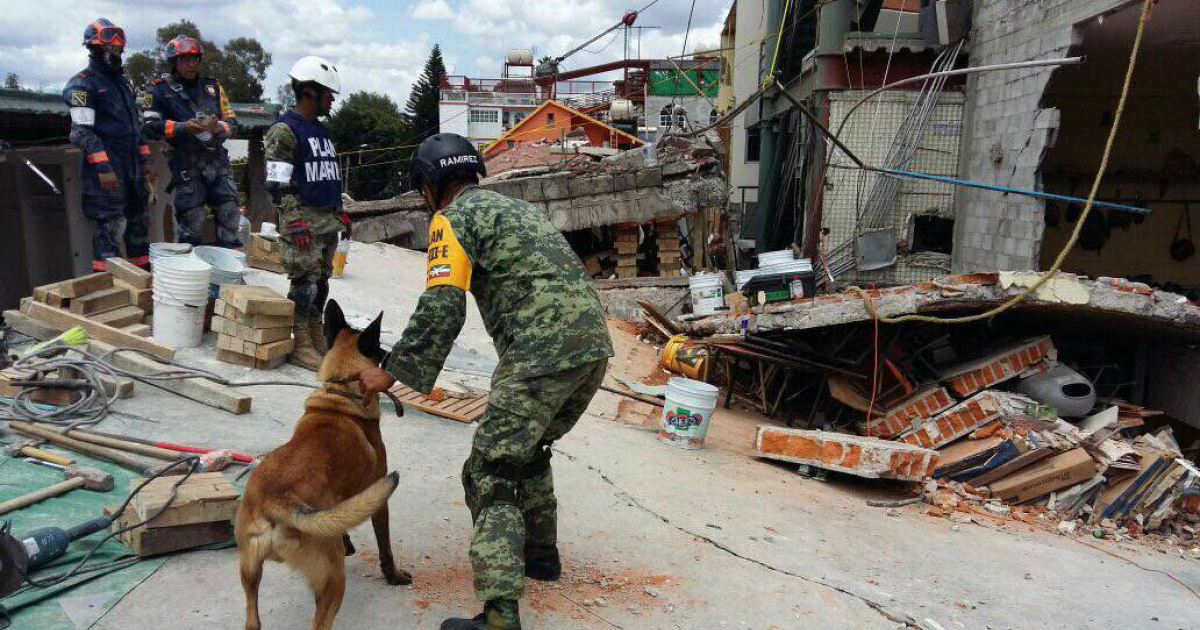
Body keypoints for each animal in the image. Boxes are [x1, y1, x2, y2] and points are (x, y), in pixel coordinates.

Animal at [234, 300, 412, 628]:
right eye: (379, 347)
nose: (392, 356)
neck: (339, 398)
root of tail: (278, 501)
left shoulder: (342, 501)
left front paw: (349, 542)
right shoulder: (379, 502)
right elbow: (386, 546)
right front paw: (393, 576)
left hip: (249, 573)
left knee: (253, 618)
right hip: (333, 581)